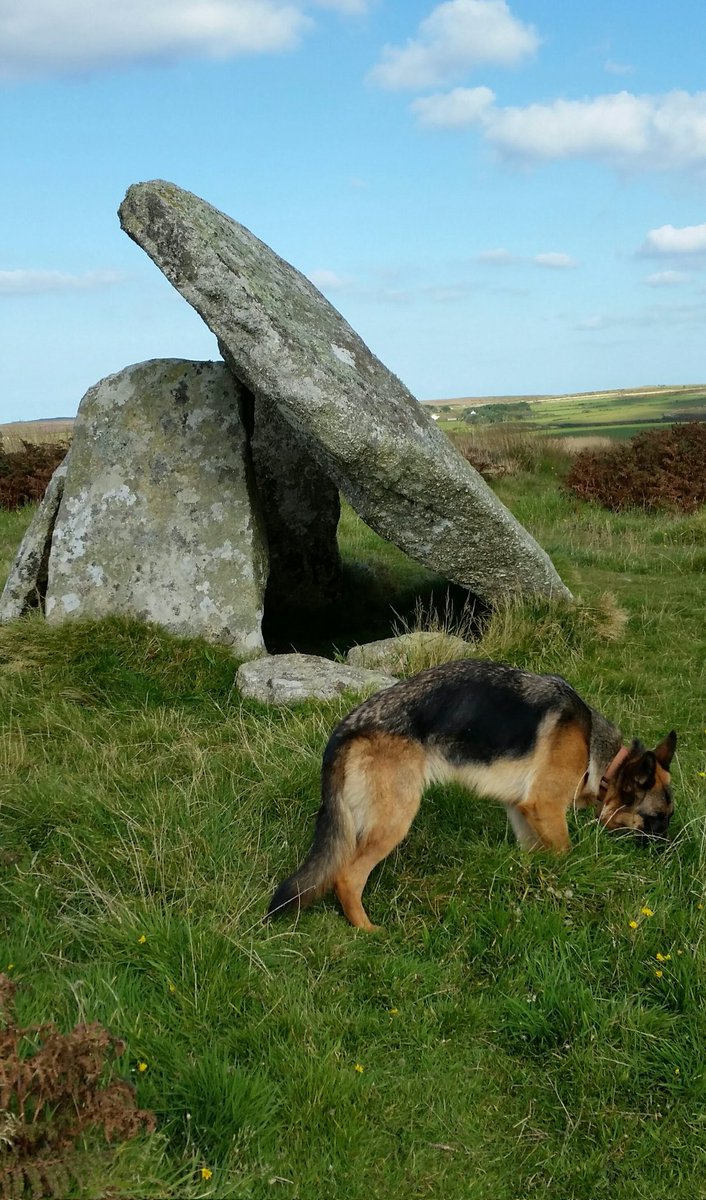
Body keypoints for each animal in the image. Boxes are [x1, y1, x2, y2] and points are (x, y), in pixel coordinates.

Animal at [267, 657, 677, 926]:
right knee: (347, 878)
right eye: (657, 820)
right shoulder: (547, 808)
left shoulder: (524, 813)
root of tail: (348, 727)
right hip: (394, 820)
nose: (670, 857)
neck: (600, 753)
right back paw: (368, 931)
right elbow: (565, 855)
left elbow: (535, 859)